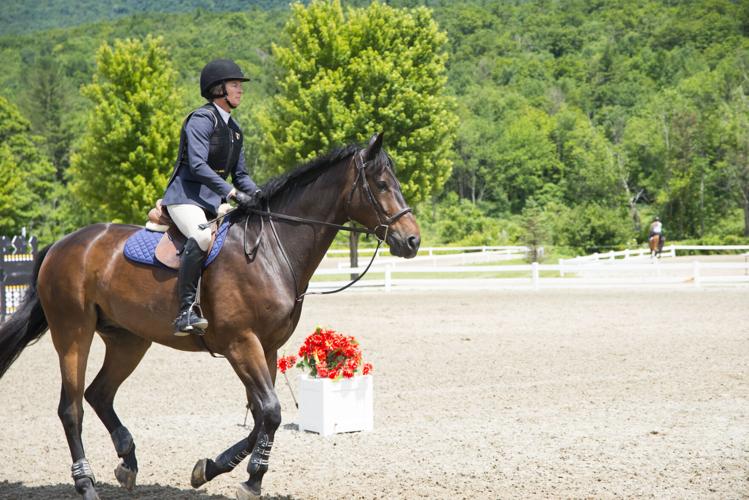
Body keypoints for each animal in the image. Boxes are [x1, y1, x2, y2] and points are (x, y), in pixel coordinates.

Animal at [0, 133, 420, 500]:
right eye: (382, 184)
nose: (413, 240)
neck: (271, 250)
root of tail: (62, 244)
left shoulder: (267, 348)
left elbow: (262, 416)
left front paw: (209, 469)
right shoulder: (241, 344)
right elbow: (270, 412)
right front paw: (251, 481)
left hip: (128, 339)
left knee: (99, 394)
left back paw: (127, 461)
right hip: (73, 333)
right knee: (71, 408)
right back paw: (86, 484)